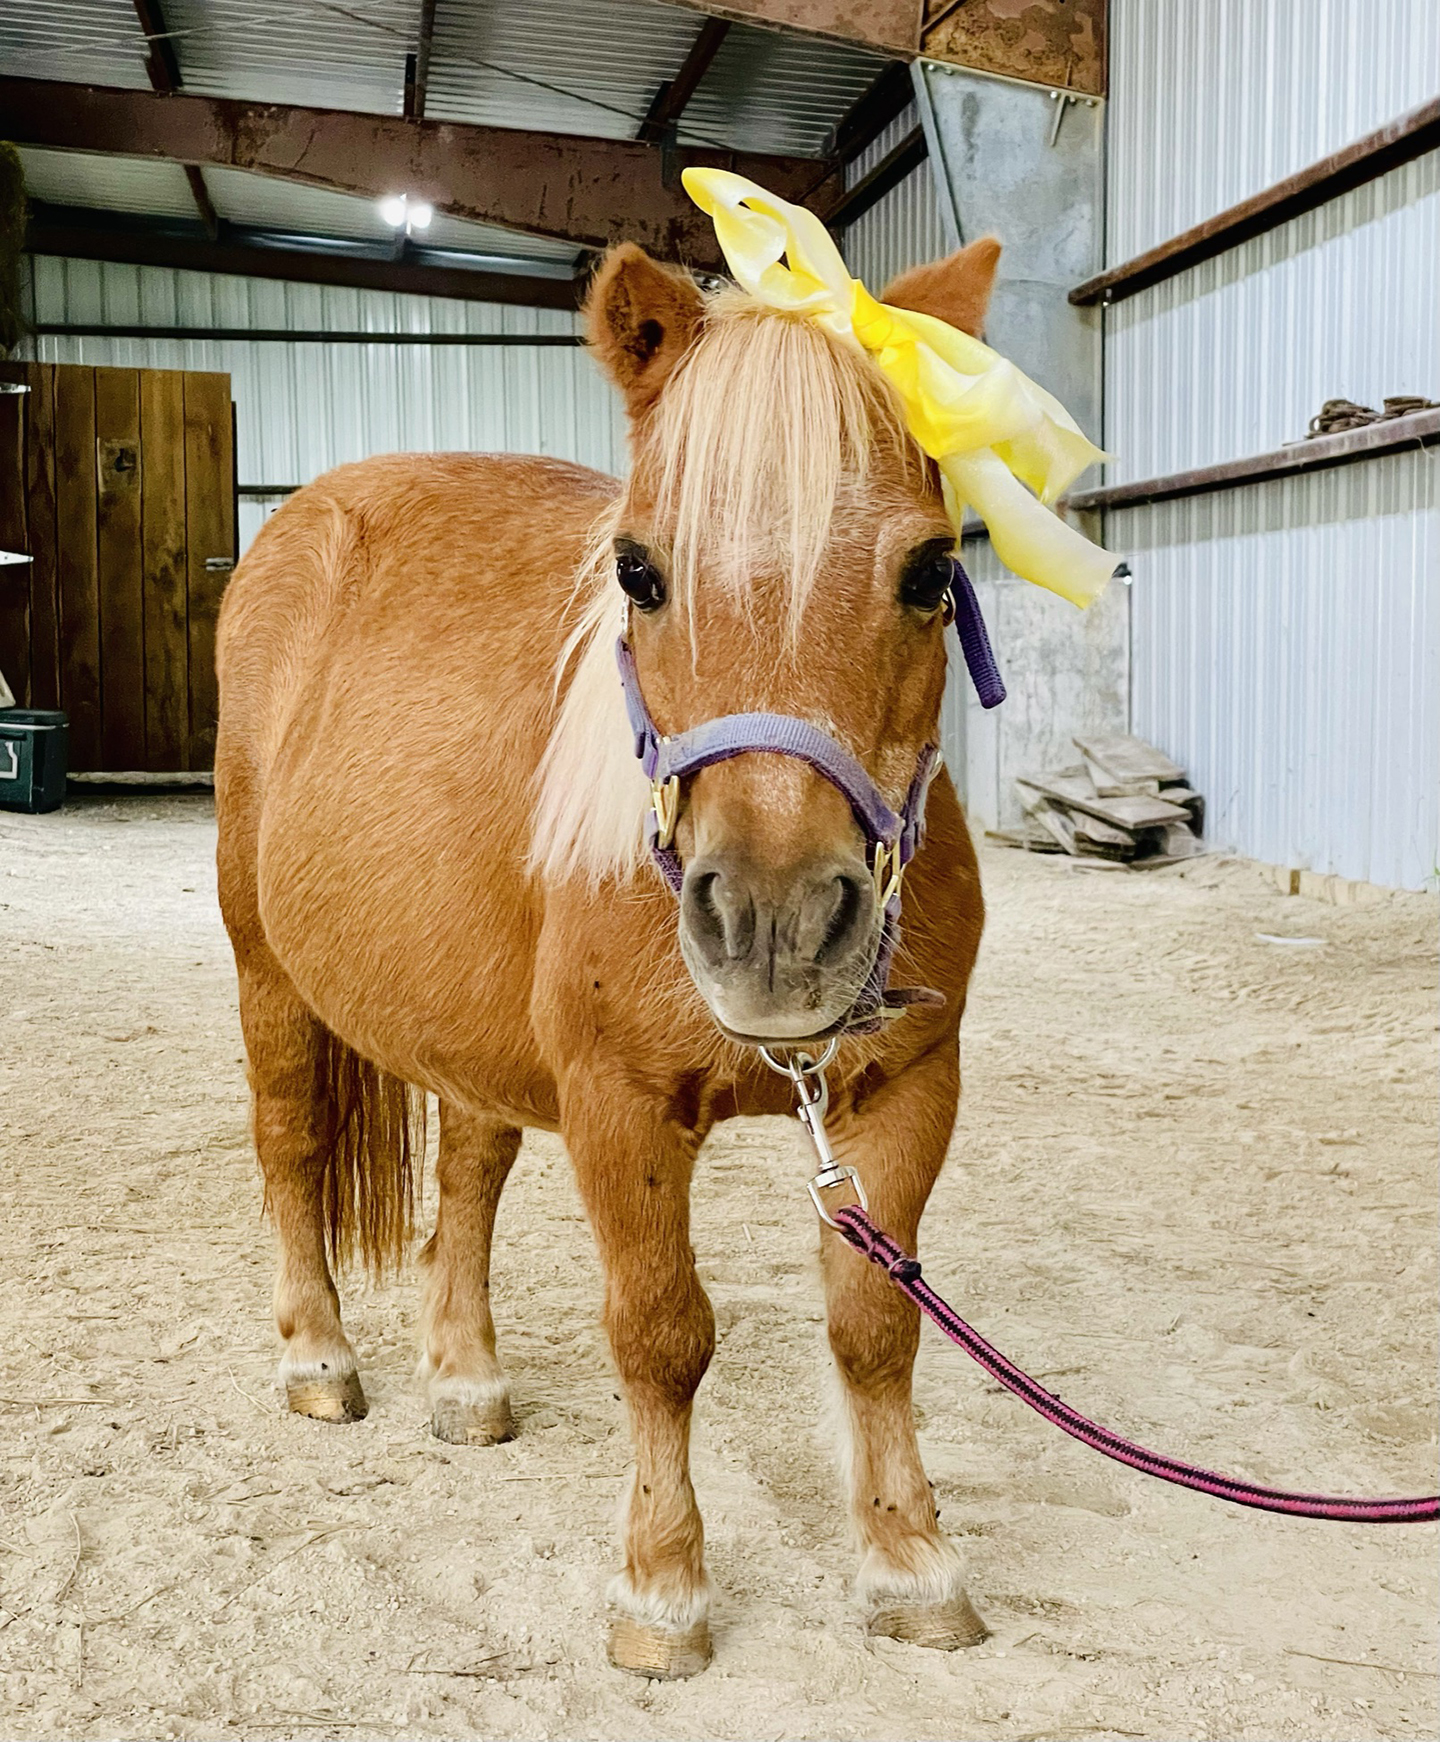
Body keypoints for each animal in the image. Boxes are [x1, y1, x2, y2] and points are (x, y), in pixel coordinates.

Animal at [214, 231, 1002, 1678]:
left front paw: (912, 1563)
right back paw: (318, 1360)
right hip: (268, 973)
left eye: (930, 569)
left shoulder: (908, 1089)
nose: (775, 927)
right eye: (637, 571)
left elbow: (876, 1325)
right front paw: (663, 1586)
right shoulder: (617, 1105)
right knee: (290, 1145)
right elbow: (662, 1331)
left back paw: (464, 1376)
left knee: (466, 1173)